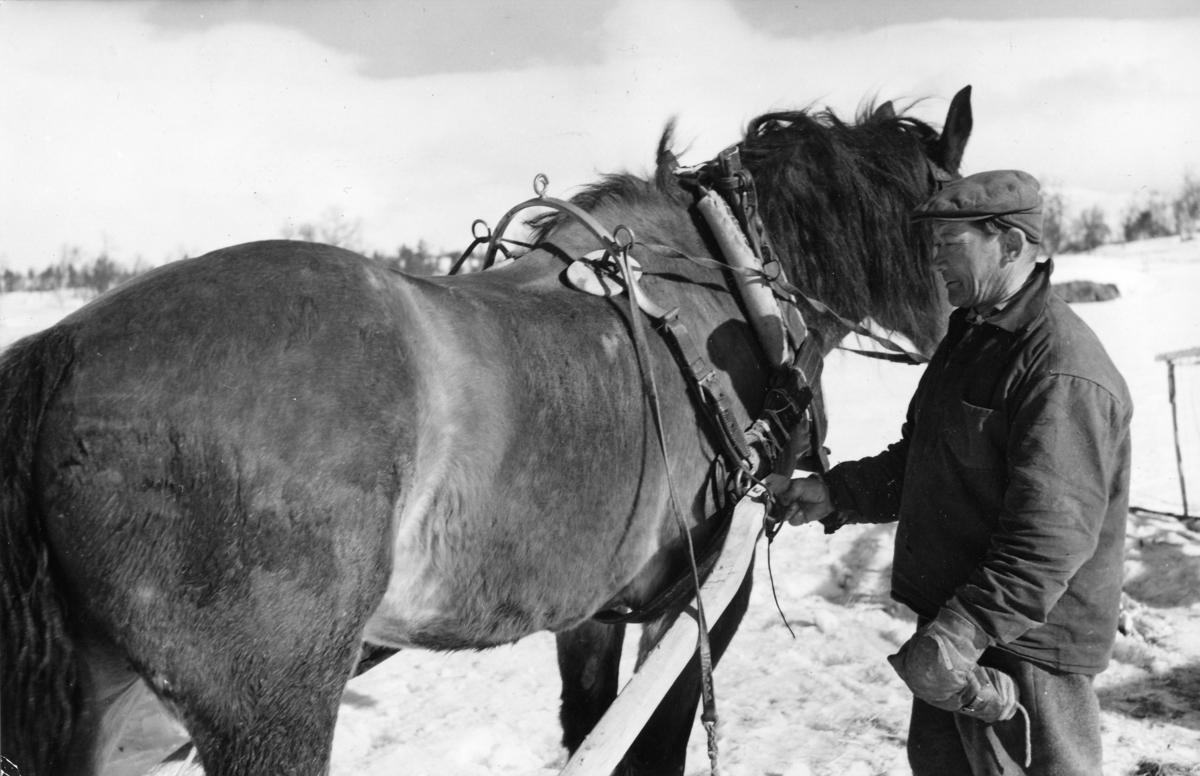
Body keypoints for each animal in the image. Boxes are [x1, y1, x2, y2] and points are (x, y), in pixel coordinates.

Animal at [0, 85, 969, 776]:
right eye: (948, 221)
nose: (959, 334)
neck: (730, 287)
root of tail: (64, 346)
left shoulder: (598, 607)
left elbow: (589, 727)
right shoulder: (693, 601)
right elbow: (651, 748)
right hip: (269, 703)